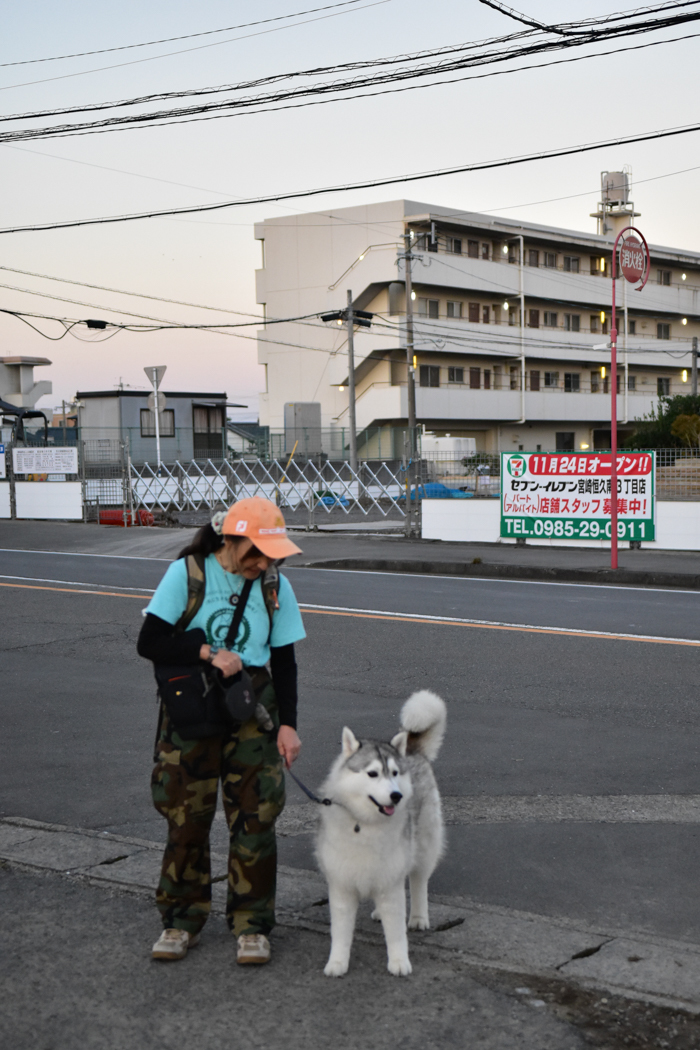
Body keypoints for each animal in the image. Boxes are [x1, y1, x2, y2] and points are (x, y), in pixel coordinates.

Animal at [314, 688, 447, 974]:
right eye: (373, 773)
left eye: (394, 773)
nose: (396, 796)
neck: (365, 824)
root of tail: (412, 751)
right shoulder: (341, 886)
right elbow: (341, 932)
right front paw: (337, 962)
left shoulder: (391, 883)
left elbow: (396, 932)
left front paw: (399, 961)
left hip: (423, 847)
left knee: (419, 880)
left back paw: (418, 916)